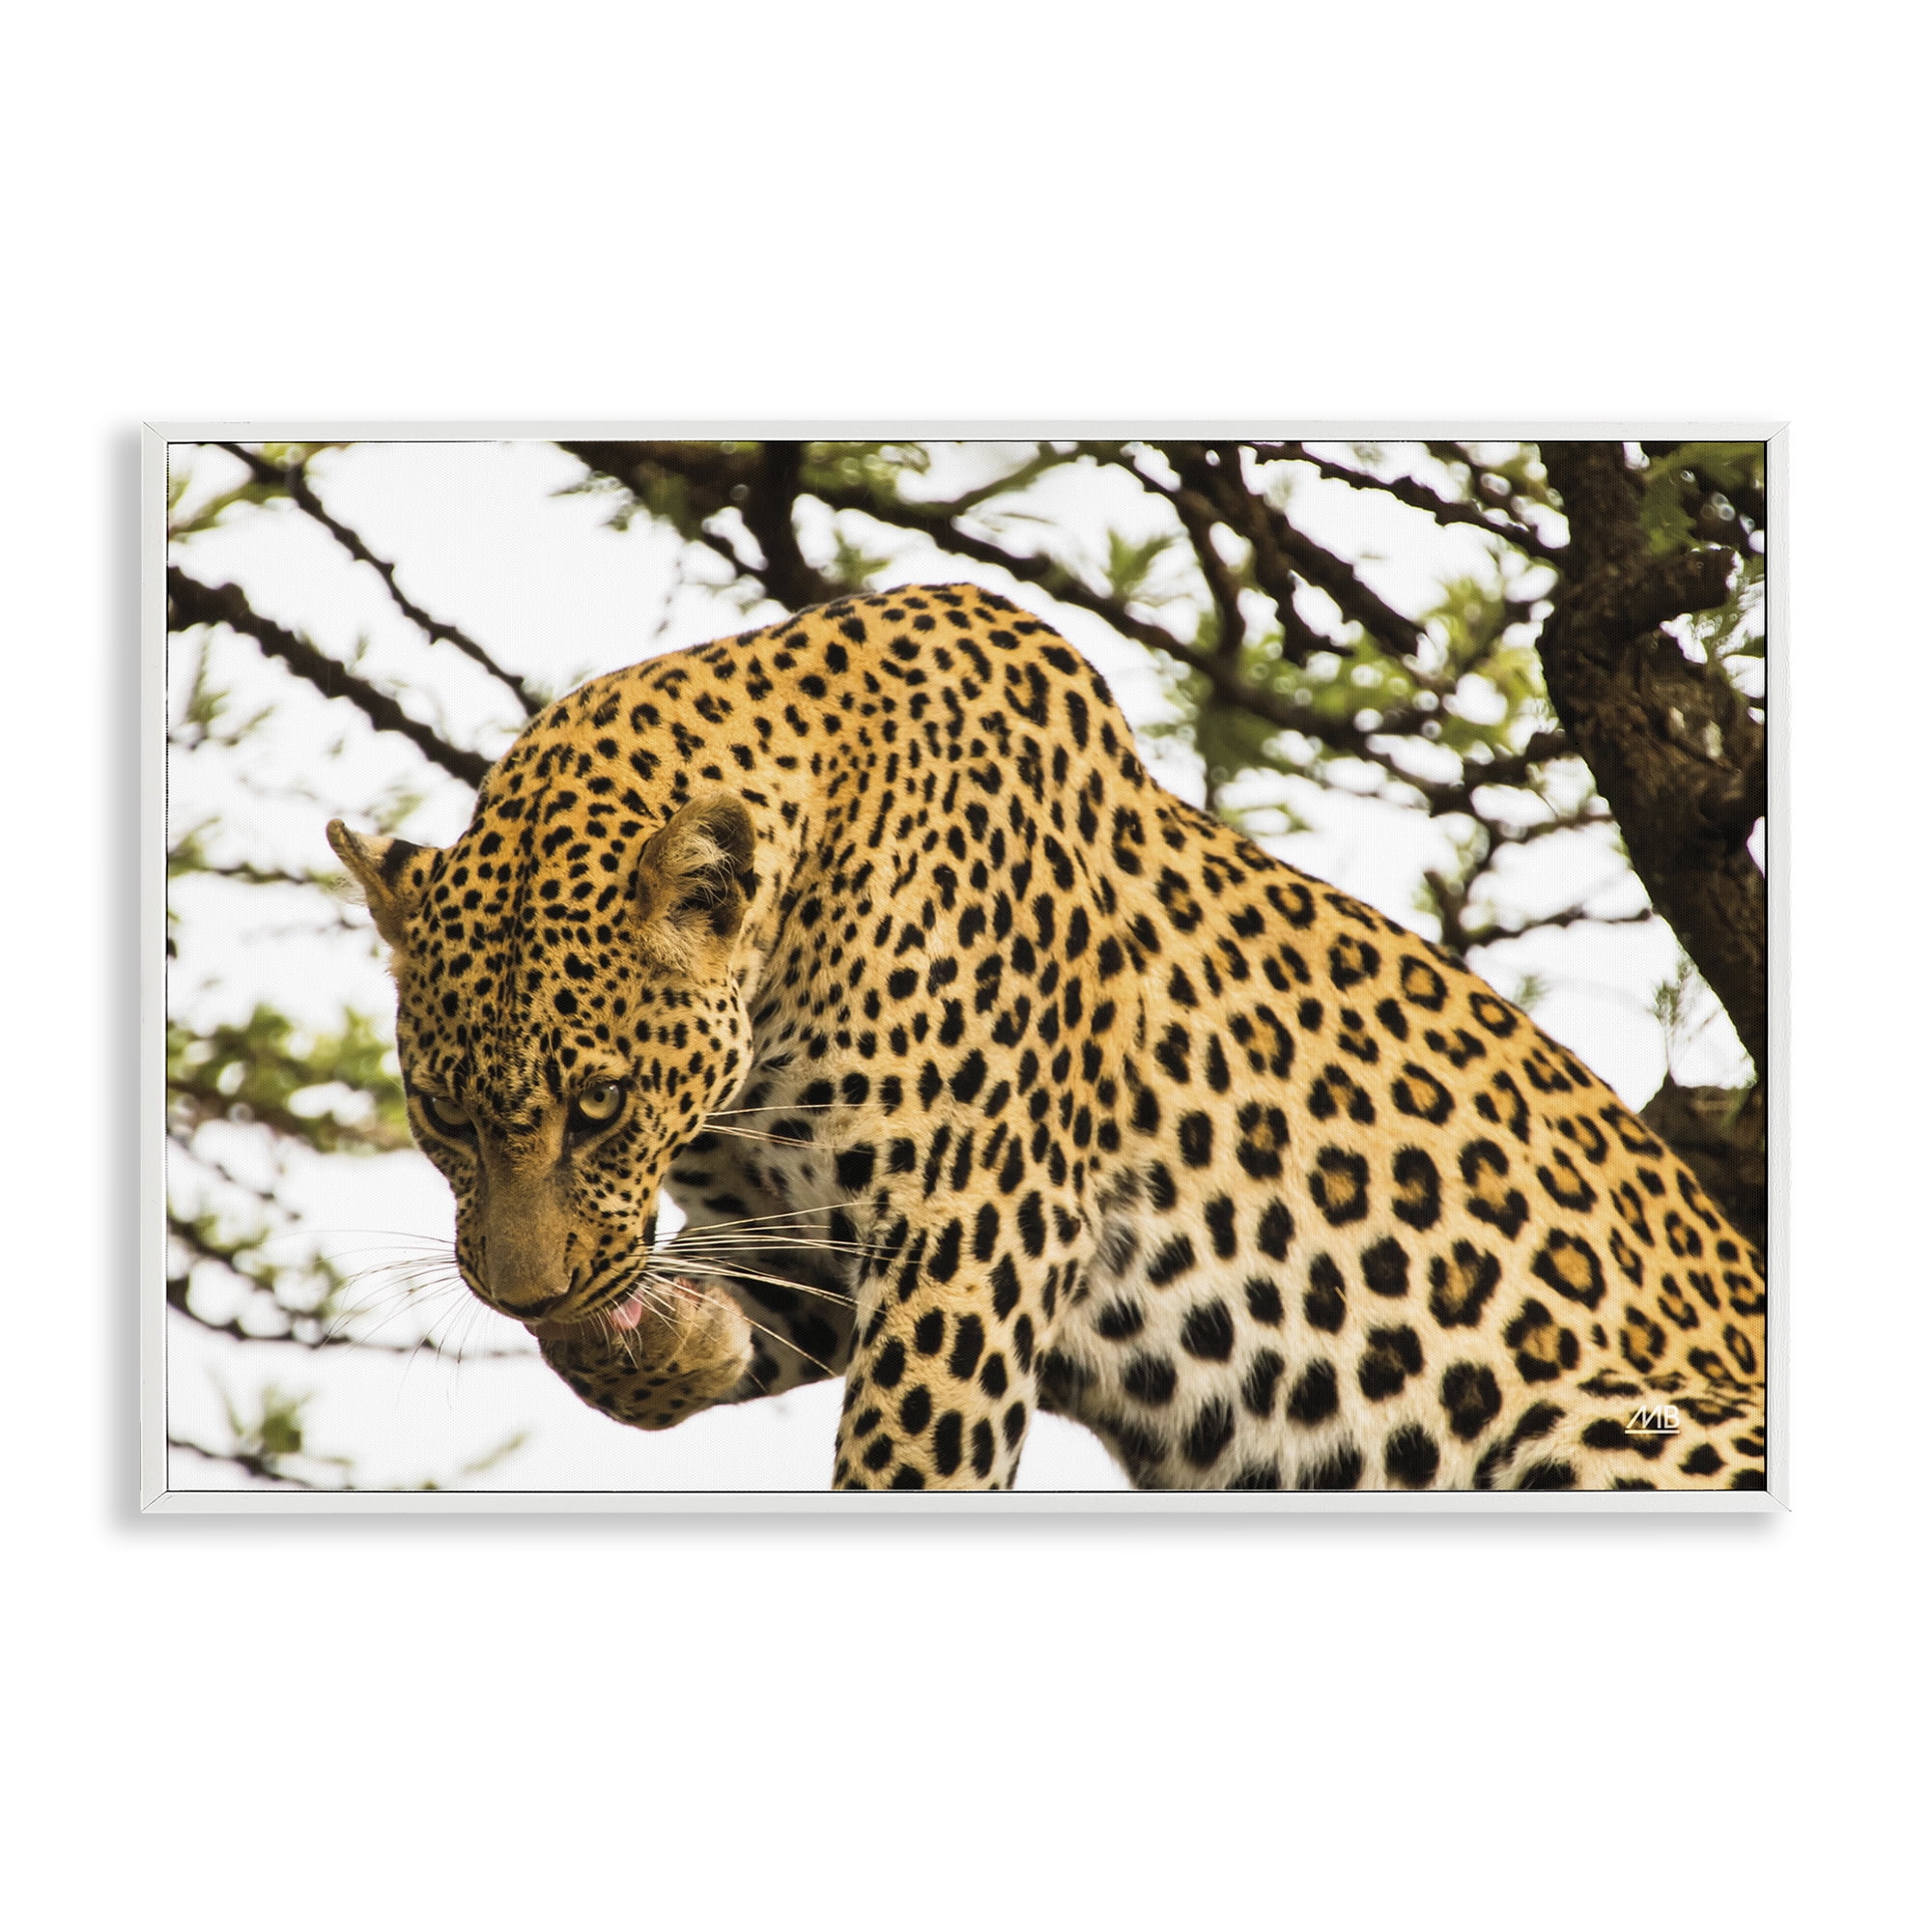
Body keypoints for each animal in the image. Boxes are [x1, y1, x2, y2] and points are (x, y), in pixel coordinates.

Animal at [329, 584, 1769, 1493]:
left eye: (602, 1106)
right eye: (442, 1114)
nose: (522, 1294)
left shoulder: (972, 1231)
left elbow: (911, 1466)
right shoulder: (810, 1238)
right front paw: (657, 1338)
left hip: (1604, 1422)